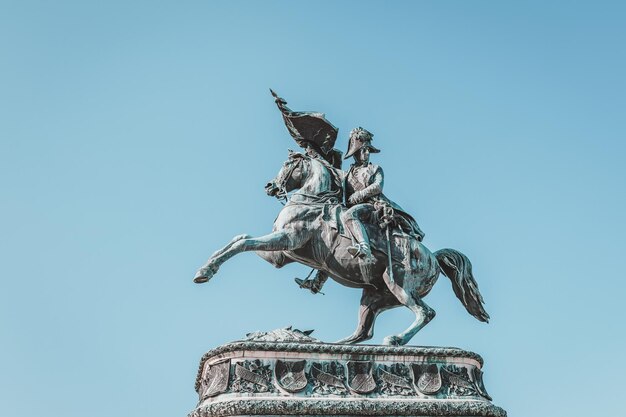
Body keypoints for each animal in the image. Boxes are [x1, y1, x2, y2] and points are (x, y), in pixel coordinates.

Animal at [194, 151, 488, 342]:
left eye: (288, 163)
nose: (270, 186)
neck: (311, 201)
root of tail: (433, 257)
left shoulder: (286, 240)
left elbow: (243, 242)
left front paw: (206, 270)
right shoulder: (281, 254)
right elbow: (239, 239)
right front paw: (205, 268)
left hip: (400, 286)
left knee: (425, 313)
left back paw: (395, 340)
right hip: (374, 297)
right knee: (363, 333)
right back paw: (329, 346)